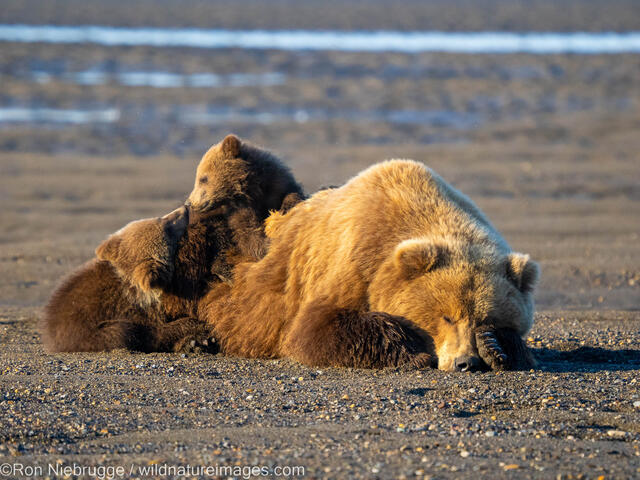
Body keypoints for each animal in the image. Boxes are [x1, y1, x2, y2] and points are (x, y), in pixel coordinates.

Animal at [41, 134, 305, 353]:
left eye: (204, 178)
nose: (188, 205)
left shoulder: (277, 184)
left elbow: (286, 203)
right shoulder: (218, 223)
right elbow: (247, 239)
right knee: (129, 332)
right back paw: (196, 338)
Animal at [197, 159, 539, 371]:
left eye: (486, 317)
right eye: (446, 316)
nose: (466, 362)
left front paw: (496, 347)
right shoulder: (355, 260)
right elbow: (317, 327)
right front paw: (416, 349)